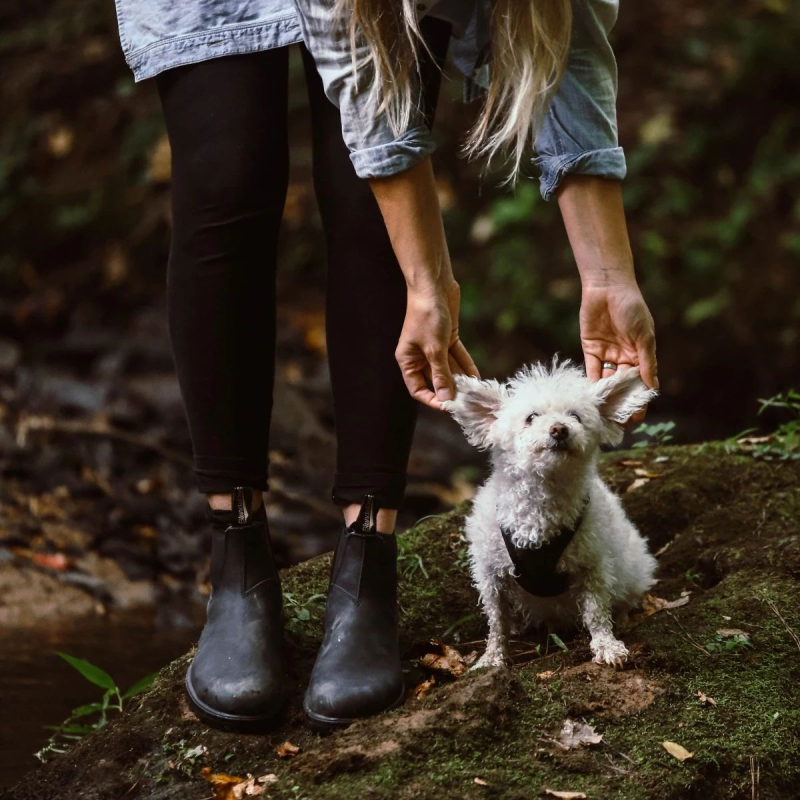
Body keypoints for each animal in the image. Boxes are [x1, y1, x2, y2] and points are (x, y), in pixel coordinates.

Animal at [446, 358, 660, 668]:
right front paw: (492, 657)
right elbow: (497, 622)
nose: (560, 429)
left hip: (633, 569)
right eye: (531, 417)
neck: (542, 500)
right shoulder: (490, 573)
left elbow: (597, 612)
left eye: (576, 417)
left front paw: (606, 645)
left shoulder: (592, 566)